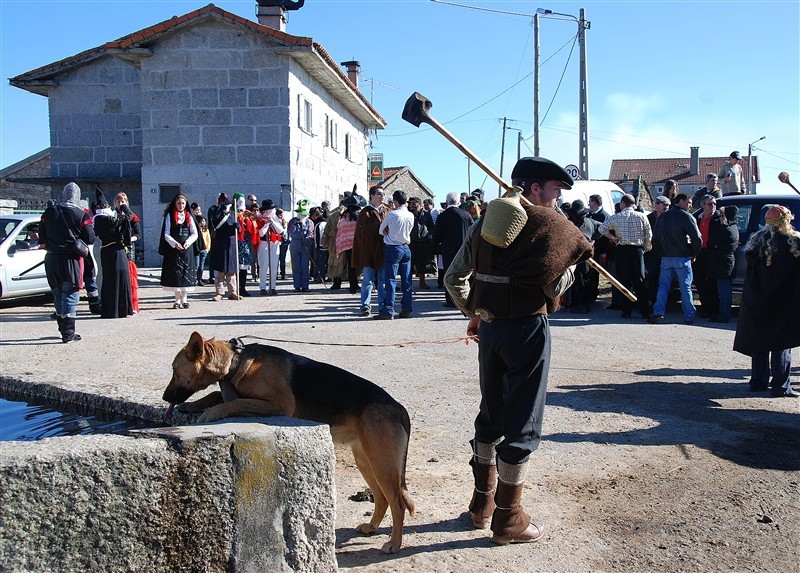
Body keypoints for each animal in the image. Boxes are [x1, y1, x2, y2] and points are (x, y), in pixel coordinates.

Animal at [160, 332, 416, 552]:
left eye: (173, 369)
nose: (164, 397)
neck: (237, 361)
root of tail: (398, 408)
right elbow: (217, 395)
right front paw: (193, 405)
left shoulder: (278, 404)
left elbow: (233, 402)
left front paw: (210, 412)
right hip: (367, 462)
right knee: (382, 498)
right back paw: (372, 527)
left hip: (381, 464)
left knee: (397, 503)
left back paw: (394, 543)